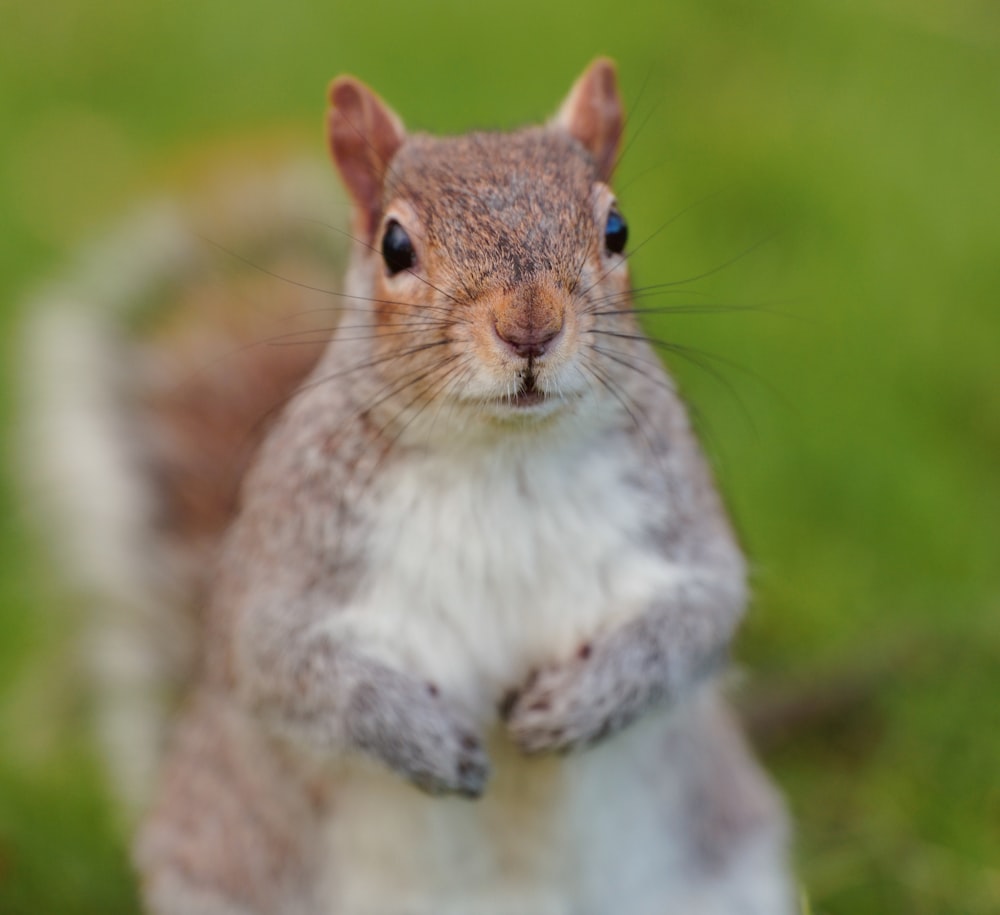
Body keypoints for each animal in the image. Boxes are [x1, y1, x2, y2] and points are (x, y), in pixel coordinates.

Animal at [21, 60, 788, 912]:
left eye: (616, 228)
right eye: (394, 245)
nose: (530, 327)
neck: (504, 458)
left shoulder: (676, 516)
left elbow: (701, 614)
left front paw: (584, 699)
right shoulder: (290, 562)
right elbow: (284, 665)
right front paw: (424, 740)